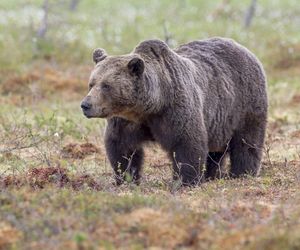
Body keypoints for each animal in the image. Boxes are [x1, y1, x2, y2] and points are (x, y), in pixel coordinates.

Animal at [81, 37, 268, 186]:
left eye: (106, 85)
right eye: (91, 83)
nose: (85, 105)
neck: (151, 106)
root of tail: (244, 48)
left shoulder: (174, 110)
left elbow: (187, 144)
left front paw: (186, 181)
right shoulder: (126, 121)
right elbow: (122, 148)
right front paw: (126, 178)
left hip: (245, 104)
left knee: (246, 143)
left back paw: (243, 174)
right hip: (218, 123)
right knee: (214, 152)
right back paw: (211, 175)